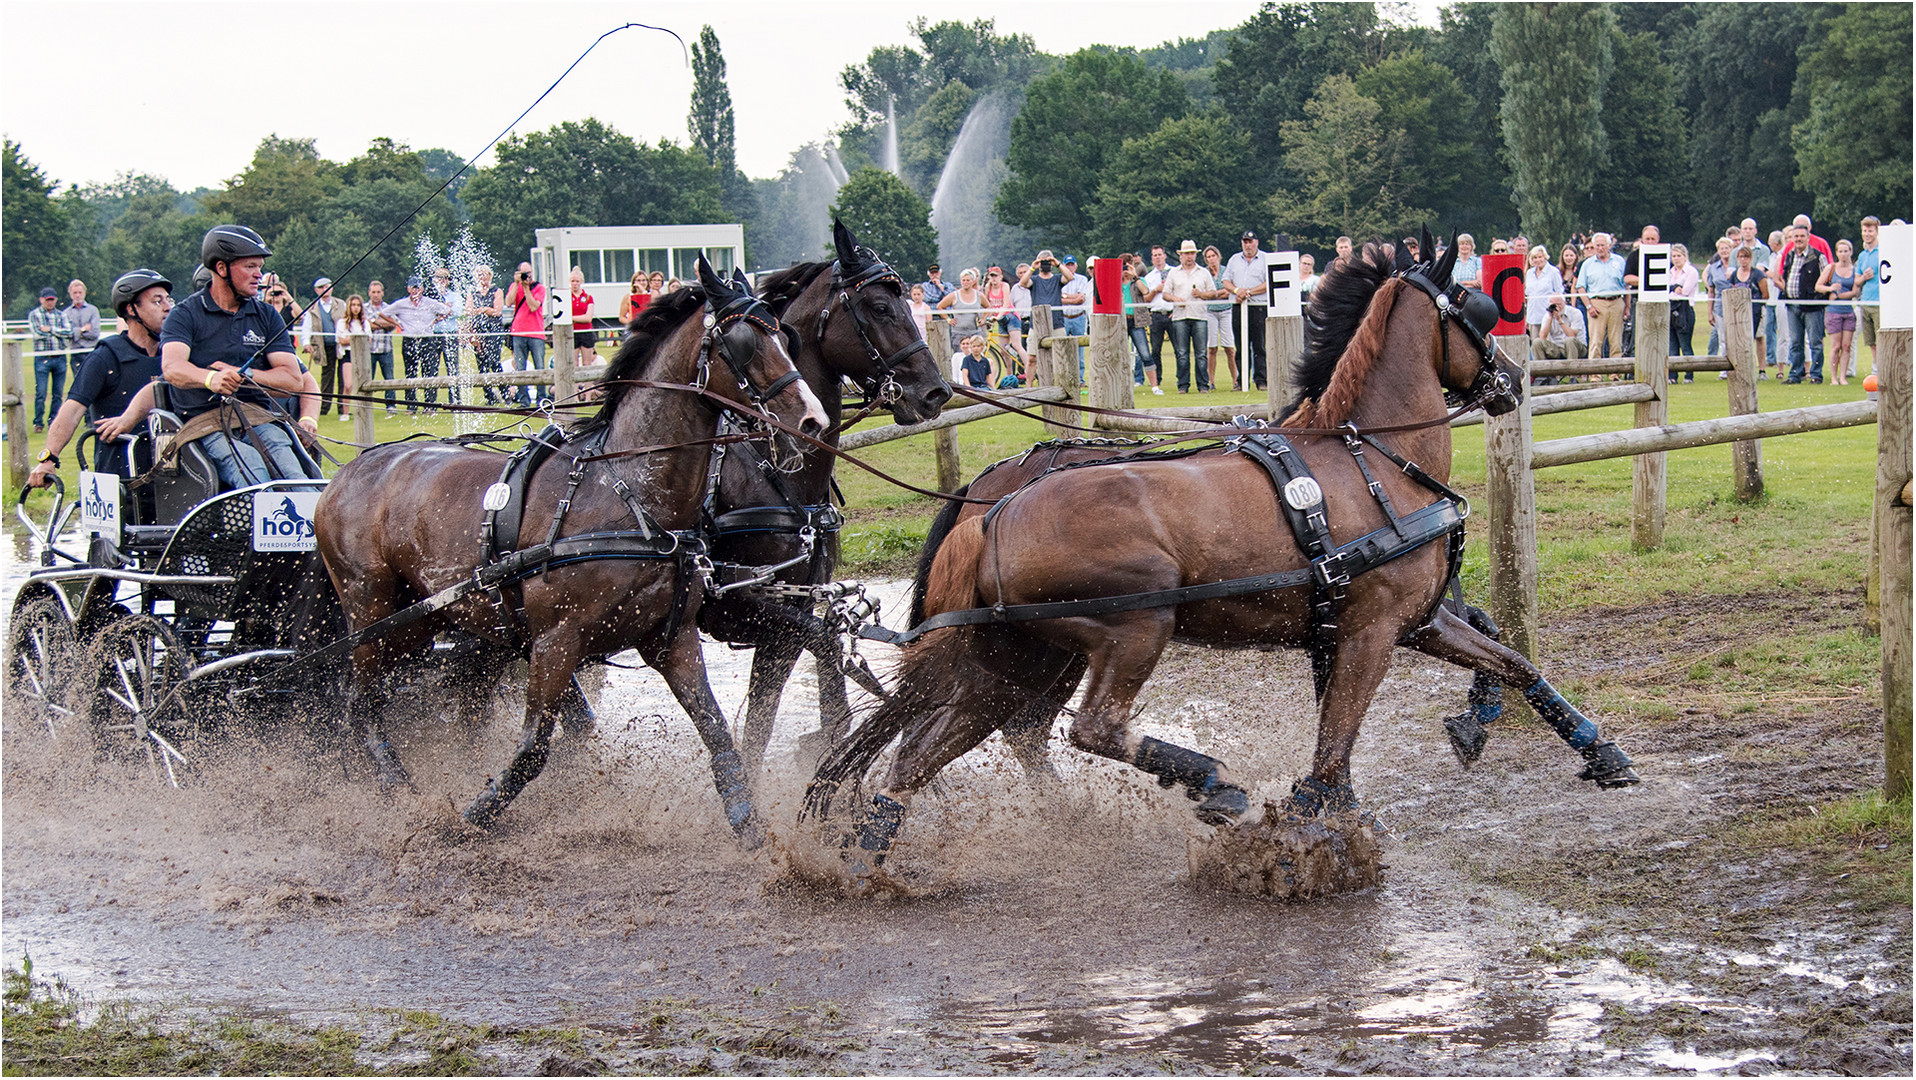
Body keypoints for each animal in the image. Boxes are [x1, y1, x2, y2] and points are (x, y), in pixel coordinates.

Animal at [318, 258, 827, 842]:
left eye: (784, 336)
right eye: (742, 343)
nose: (812, 422)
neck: (627, 491)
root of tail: (344, 474)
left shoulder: (670, 638)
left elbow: (717, 731)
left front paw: (751, 832)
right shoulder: (555, 642)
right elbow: (533, 749)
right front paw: (470, 816)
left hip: (423, 621)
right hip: (374, 614)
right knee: (360, 705)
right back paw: (398, 790)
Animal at [697, 221, 950, 792]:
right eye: (879, 306)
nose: (935, 393)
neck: (769, 470)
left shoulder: (793, 614)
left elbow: (790, 705)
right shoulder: (742, 607)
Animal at [804, 238, 1632, 869]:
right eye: (1480, 307)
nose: (1512, 380)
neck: (1371, 459)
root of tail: (995, 509)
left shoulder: (1416, 620)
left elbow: (1511, 662)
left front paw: (1591, 749)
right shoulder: (1372, 631)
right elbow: (1335, 745)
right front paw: (1314, 826)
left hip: (1012, 660)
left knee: (924, 755)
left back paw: (867, 856)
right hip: (1133, 628)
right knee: (1086, 729)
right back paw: (1209, 782)